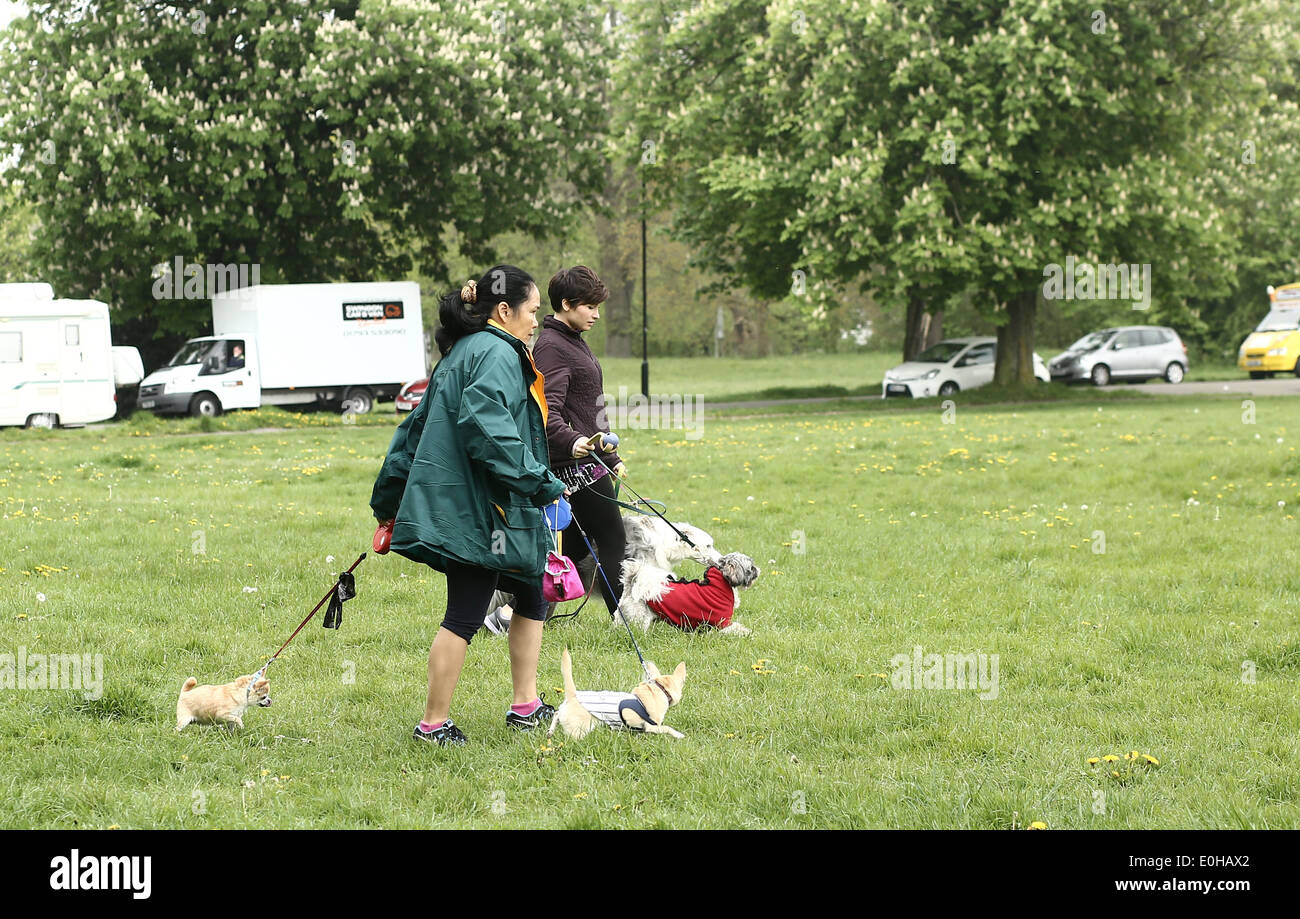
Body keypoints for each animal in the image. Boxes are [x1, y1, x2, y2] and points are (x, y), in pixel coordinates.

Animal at [548, 647, 691, 738]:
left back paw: (550, 731)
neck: (661, 689)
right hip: (580, 729)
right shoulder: (652, 726)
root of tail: (573, 695)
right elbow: (667, 728)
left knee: (556, 714)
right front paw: (679, 735)